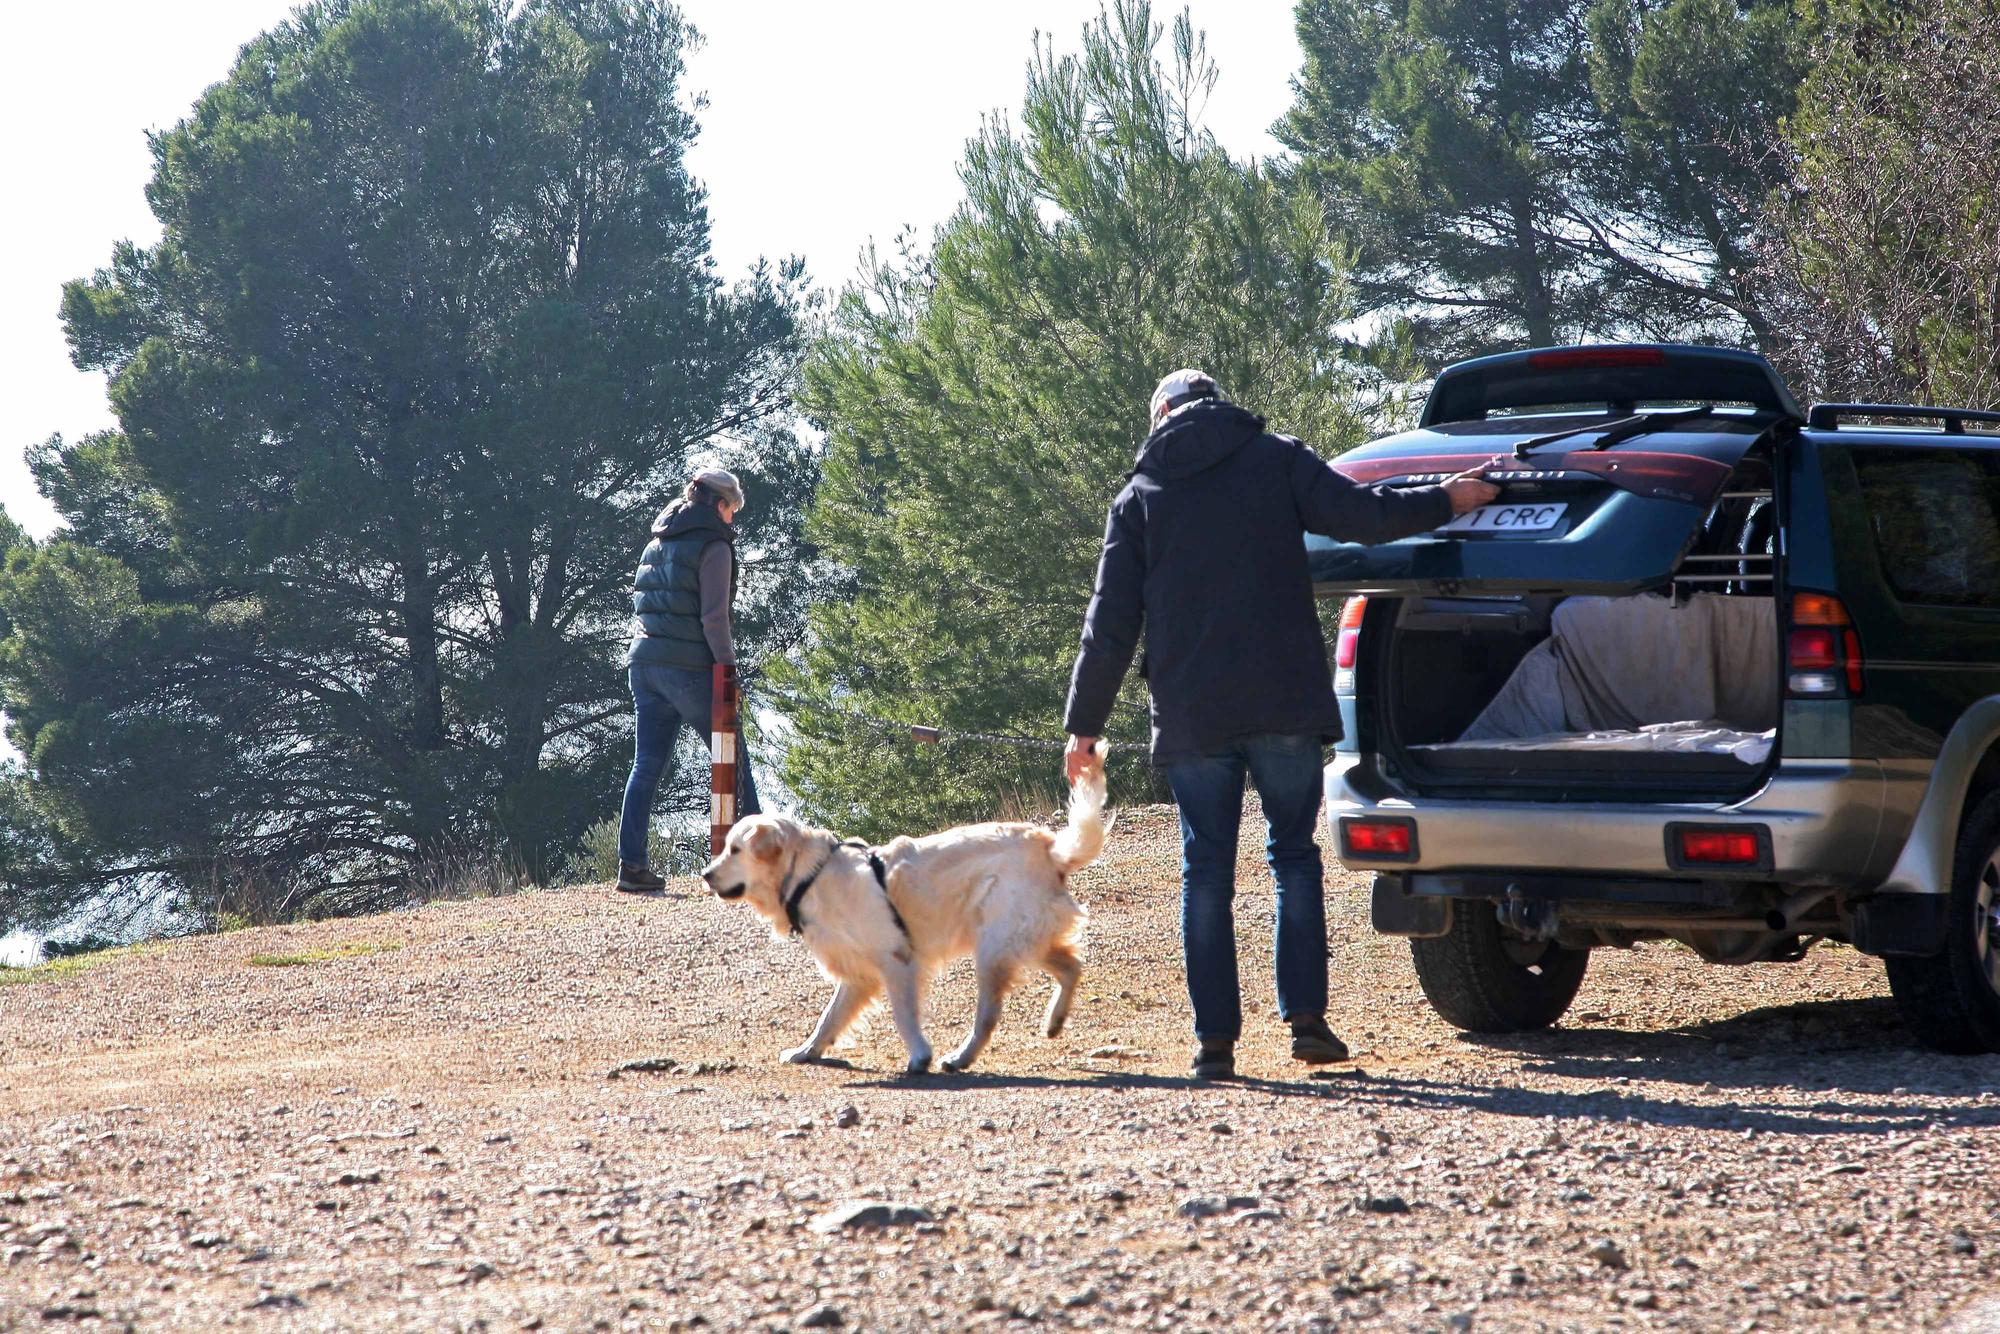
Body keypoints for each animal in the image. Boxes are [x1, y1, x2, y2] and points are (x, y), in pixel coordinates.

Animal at [700, 760, 1112, 1072]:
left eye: (735, 849)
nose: (705, 875)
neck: (809, 875)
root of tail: (1050, 848)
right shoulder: (858, 972)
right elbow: (828, 1017)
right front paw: (807, 1051)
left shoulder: (895, 959)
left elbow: (902, 1015)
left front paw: (919, 1055)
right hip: (1024, 940)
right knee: (1072, 966)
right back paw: (1054, 1021)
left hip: (994, 947)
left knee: (989, 1014)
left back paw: (960, 1057)